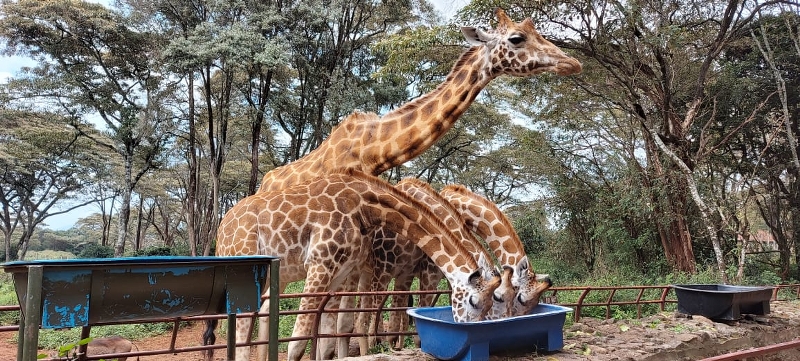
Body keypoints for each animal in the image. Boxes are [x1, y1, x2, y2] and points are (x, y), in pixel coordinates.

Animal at [212, 169, 500, 360]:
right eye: (475, 302)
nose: (473, 331)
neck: (366, 207)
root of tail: (222, 226)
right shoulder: (320, 262)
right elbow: (298, 340)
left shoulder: (341, 271)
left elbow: (330, 335)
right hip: (242, 266)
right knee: (240, 328)